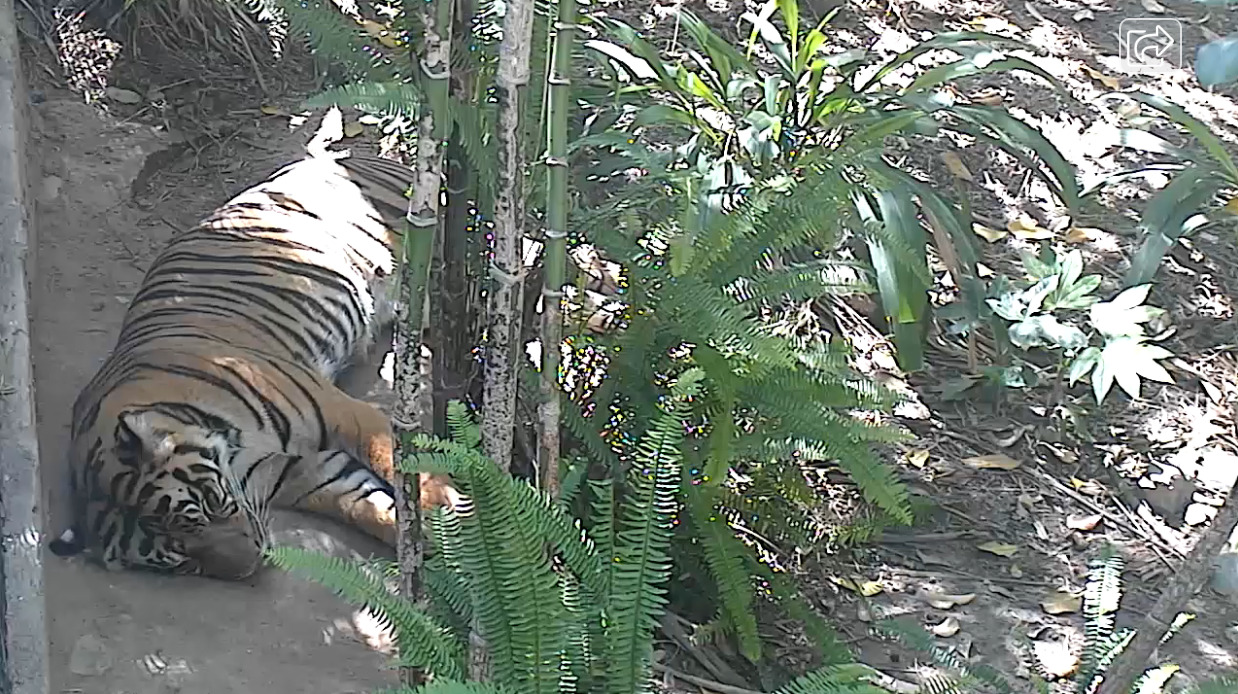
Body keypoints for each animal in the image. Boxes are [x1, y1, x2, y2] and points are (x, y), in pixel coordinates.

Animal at [50, 147, 456, 580]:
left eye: (206, 509)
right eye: (181, 561)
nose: (253, 564)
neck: (239, 459)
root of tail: (349, 154)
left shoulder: (344, 412)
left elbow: (409, 466)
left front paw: (457, 518)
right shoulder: (312, 475)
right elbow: (375, 509)